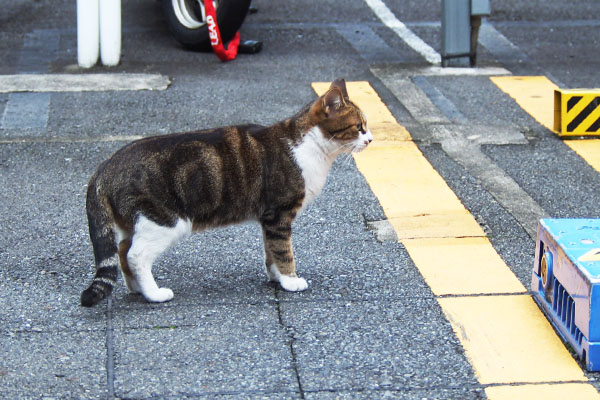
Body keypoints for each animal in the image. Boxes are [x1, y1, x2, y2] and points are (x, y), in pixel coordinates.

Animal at [79, 79, 370, 308]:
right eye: (358, 127)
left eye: (366, 126)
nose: (370, 140)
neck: (309, 147)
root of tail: (105, 167)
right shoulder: (279, 214)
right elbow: (284, 250)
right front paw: (290, 281)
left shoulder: (268, 218)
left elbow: (271, 251)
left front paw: (276, 277)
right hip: (164, 221)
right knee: (135, 255)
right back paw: (154, 294)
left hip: (135, 221)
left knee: (122, 250)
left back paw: (137, 288)